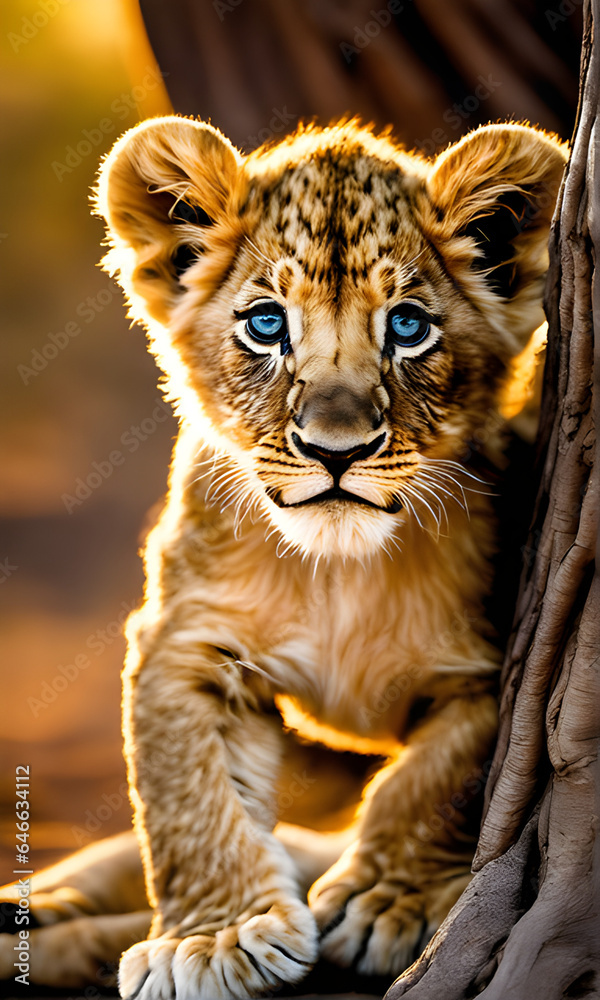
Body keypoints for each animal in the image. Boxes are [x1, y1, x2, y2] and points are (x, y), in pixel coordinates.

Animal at [0, 118, 566, 998]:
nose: (336, 450)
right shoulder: (185, 643)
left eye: (408, 328)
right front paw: (215, 937)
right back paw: (40, 902)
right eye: (266, 326)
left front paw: (382, 903)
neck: (338, 571)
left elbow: (435, 778)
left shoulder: (492, 665)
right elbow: (185, 796)